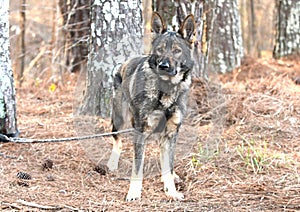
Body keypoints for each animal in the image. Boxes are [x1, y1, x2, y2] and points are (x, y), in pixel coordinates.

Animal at [106, 12, 196, 202]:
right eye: (160, 49)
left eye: (177, 50)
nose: (163, 66)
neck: (166, 90)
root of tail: (123, 62)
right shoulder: (141, 131)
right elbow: (137, 167)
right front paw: (134, 192)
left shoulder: (170, 134)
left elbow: (168, 166)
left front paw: (171, 191)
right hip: (119, 118)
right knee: (117, 140)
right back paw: (112, 163)